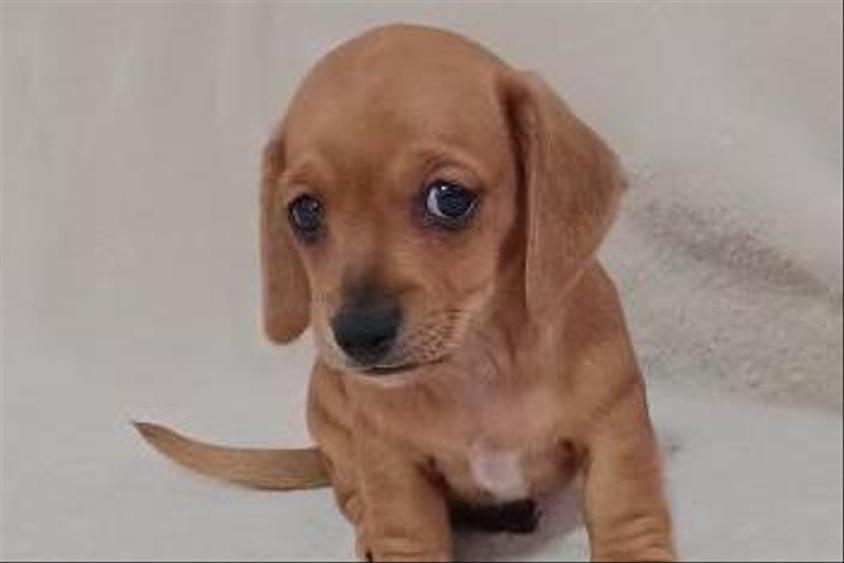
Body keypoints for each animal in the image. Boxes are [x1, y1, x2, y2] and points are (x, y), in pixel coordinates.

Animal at [138, 24, 680, 563]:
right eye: (305, 211)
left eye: (449, 198)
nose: (358, 334)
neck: (479, 364)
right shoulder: (391, 463)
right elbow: (403, 528)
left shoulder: (615, 429)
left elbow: (627, 514)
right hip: (330, 417)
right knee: (351, 492)